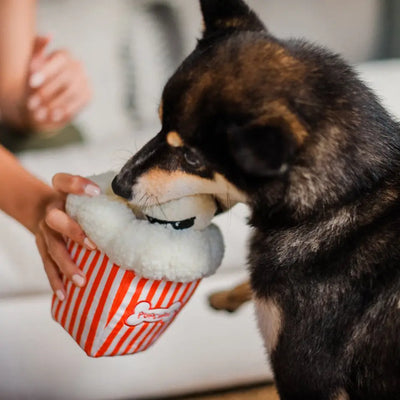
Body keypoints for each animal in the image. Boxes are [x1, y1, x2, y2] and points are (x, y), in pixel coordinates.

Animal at [110, 1, 400, 398]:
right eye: (159, 124)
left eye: (193, 159)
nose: (118, 184)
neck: (343, 198)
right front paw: (229, 295)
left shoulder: (303, 376)